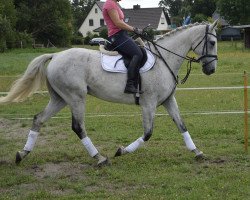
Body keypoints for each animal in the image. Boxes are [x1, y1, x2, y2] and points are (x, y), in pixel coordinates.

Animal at [0, 21, 219, 166]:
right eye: (212, 42)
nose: (211, 70)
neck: (163, 58)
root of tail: (55, 55)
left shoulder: (167, 100)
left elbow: (182, 125)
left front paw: (197, 152)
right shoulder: (148, 103)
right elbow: (148, 133)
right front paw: (122, 151)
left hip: (60, 99)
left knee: (38, 119)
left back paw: (22, 153)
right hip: (76, 98)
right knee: (78, 127)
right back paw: (99, 158)